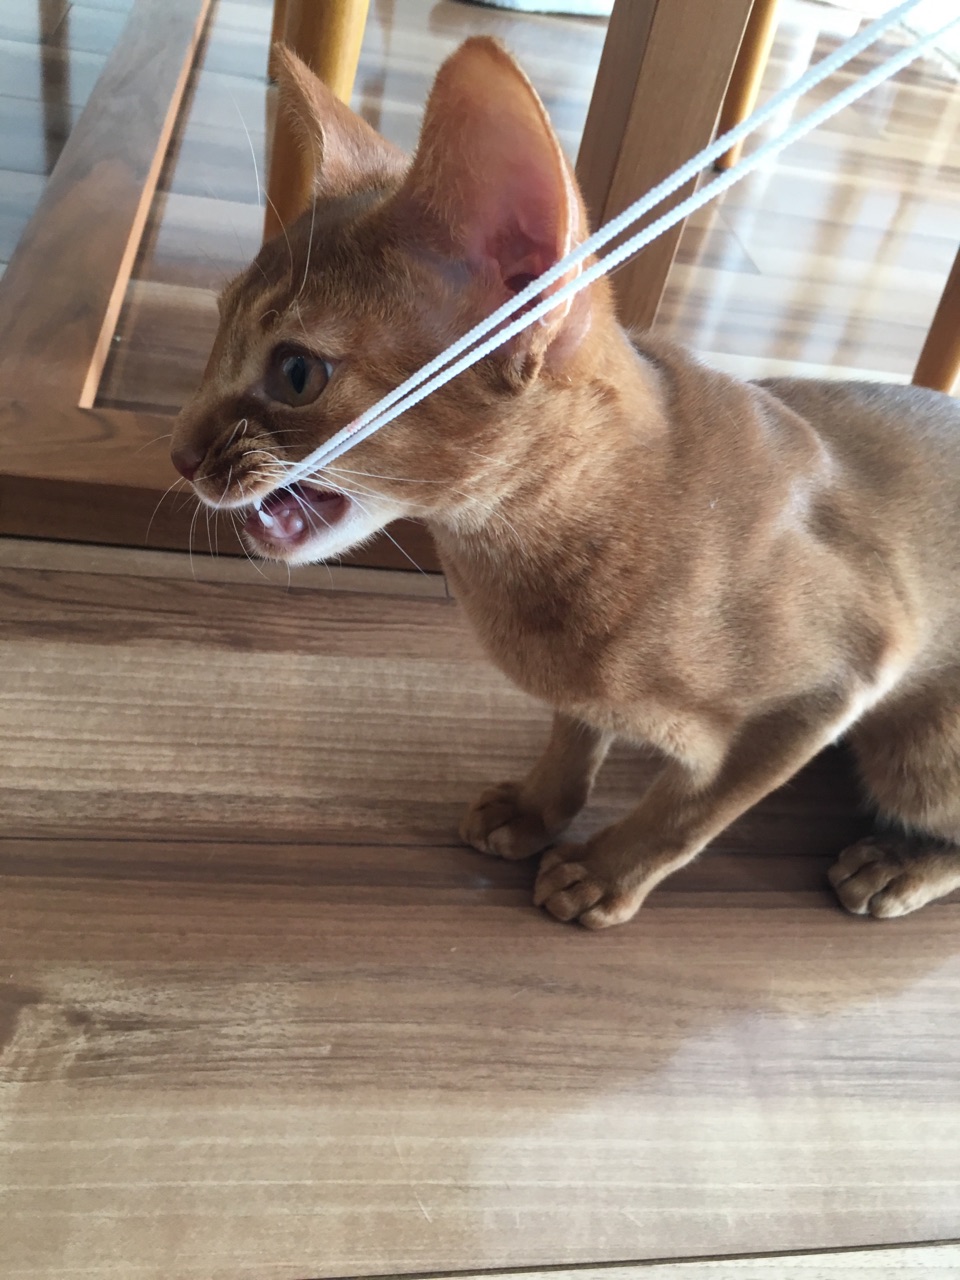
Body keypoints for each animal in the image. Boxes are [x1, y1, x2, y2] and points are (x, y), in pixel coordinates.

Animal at [171, 38, 960, 929]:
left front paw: (606, 870)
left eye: (298, 373)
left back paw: (898, 864)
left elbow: (690, 810)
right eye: (218, 328)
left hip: (923, 754)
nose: (179, 452)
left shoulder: (844, 674)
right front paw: (537, 809)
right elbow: (574, 731)